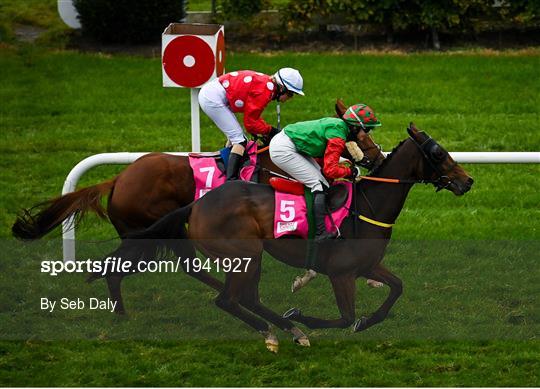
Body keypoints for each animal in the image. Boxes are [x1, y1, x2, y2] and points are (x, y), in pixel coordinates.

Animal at [11, 99, 384, 312]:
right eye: (364, 136)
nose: (380, 157)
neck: (279, 164)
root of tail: (117, 180)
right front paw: (308, 277)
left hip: (151, 231)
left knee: (168, 265)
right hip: (159, 228)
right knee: (171, 265)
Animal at [110, 123, 472, 350]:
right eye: (438, 153)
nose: (467, 181)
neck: (368, 206)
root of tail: (198, 204)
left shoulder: (367, 266)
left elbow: (396, 288)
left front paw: (367, 320)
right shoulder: (341, 273)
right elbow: (344, 317)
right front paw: (300, 313)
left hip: (248, 256)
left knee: (245, 298)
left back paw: (290, 332)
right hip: (245, 254)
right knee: (227, 299)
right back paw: (277, 331)